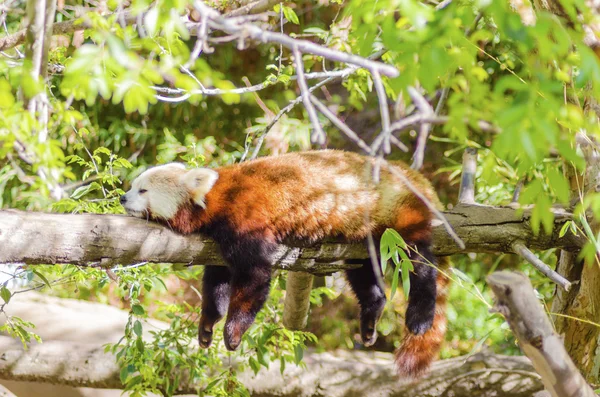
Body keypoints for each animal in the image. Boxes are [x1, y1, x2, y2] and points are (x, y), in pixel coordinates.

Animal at [120, 150, 450, 376]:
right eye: (134, 185)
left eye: (143, 190)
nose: (123, 198)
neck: (217, 197)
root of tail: (409, 174)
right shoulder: (216, 244)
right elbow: (217, 281)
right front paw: (207, 325)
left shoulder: (247, 218)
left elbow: (254, 278)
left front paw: (233, 332)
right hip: (364, 238)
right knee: (364, 273)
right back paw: (370, 316)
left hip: (397, 215)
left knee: (418, 262)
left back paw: (420, 315)